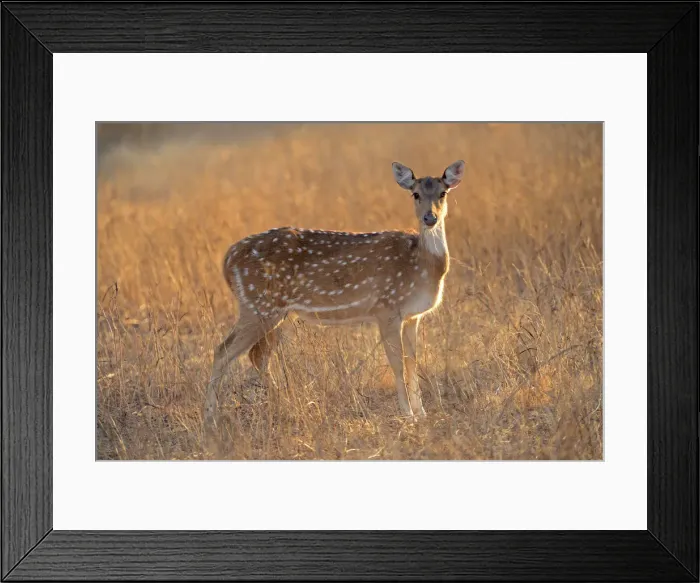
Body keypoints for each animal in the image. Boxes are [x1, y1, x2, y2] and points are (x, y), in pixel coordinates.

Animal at [204, 160, 464, 426]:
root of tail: (228, 260)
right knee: (223, 350)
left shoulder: (413, 316)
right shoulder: (387, 308)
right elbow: (397, 364)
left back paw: (283, 404)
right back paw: (211, 416)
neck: (422, 266)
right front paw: (407, 415)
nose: (430, 217)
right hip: (257, 305)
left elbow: (412, 362)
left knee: (258, 356)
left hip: (274, 312)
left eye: (443, 193)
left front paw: (421, 414)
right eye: (415, 194)